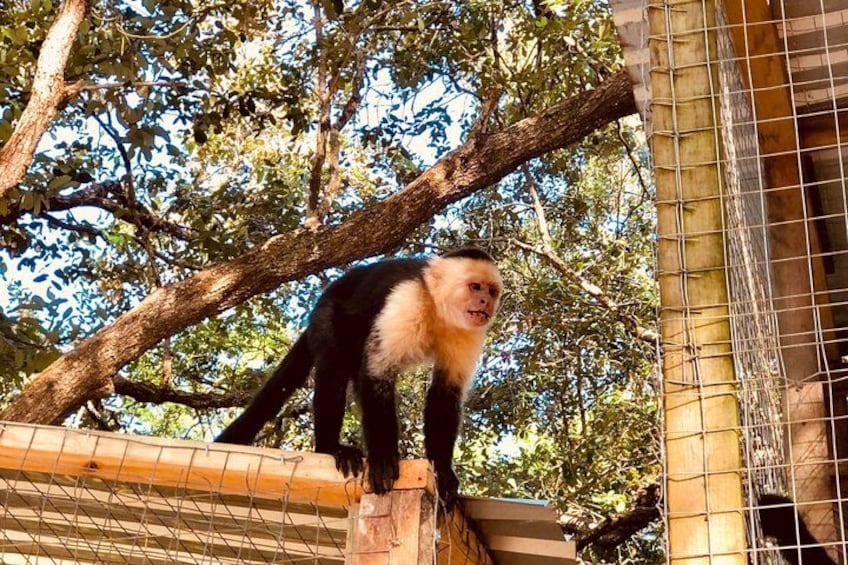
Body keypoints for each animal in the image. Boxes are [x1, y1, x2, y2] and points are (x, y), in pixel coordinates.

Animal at [215, 248, 502, 508]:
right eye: (475, 286)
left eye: (491, 291)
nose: (485, 302)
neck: (437, 307)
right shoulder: (406, 299)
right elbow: (377, 373)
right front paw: (383, 458)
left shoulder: (468, 330)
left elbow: (445, 393)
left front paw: (442, 472)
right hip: (328, 315)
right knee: (334, 367)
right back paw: (330, 448)